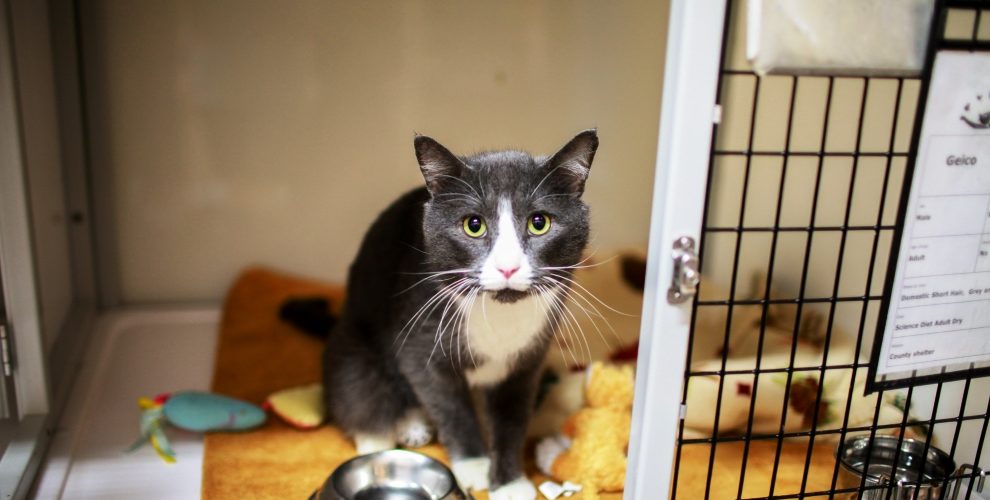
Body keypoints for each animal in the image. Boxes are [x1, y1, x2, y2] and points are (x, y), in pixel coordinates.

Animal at [321, 129, 598, 499]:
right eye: (473, 225)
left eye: (539, 223)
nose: (507, 267)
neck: (498, 314)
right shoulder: (421, 340)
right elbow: (449, 405)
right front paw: (475, 465)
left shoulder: (528, 357)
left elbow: (512, 418)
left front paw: (510, 482)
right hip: (355, 347)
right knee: (359, 392)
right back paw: (386, 436)